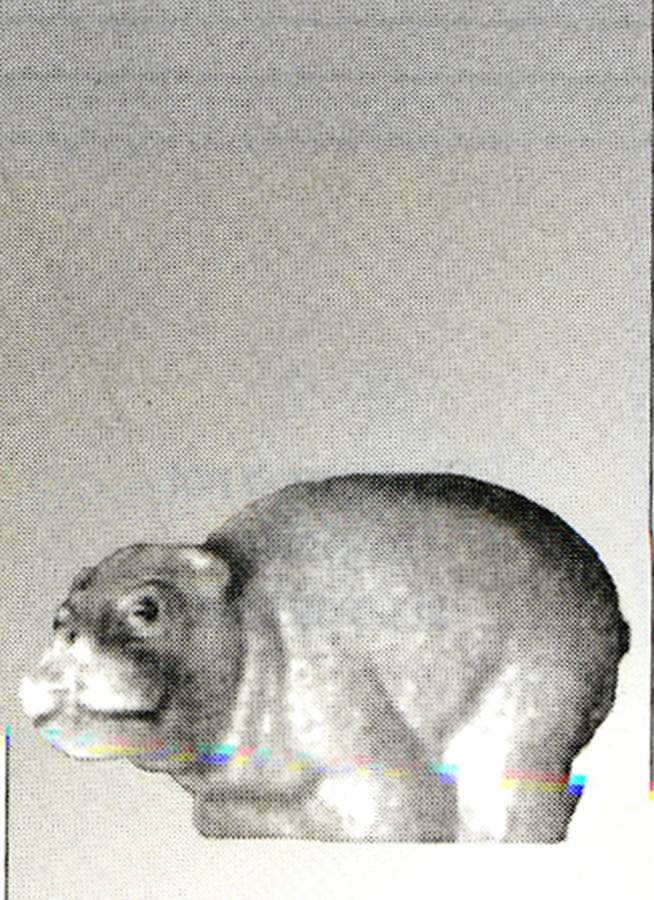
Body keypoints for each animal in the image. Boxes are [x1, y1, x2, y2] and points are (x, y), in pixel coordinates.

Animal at [20, 473, 629, 842]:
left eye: (146, 608)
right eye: (60, 619)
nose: (68, 642)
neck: (247, 621)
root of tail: (614, 613)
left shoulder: (351, 730)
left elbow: (404, 812)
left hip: (536, 701)